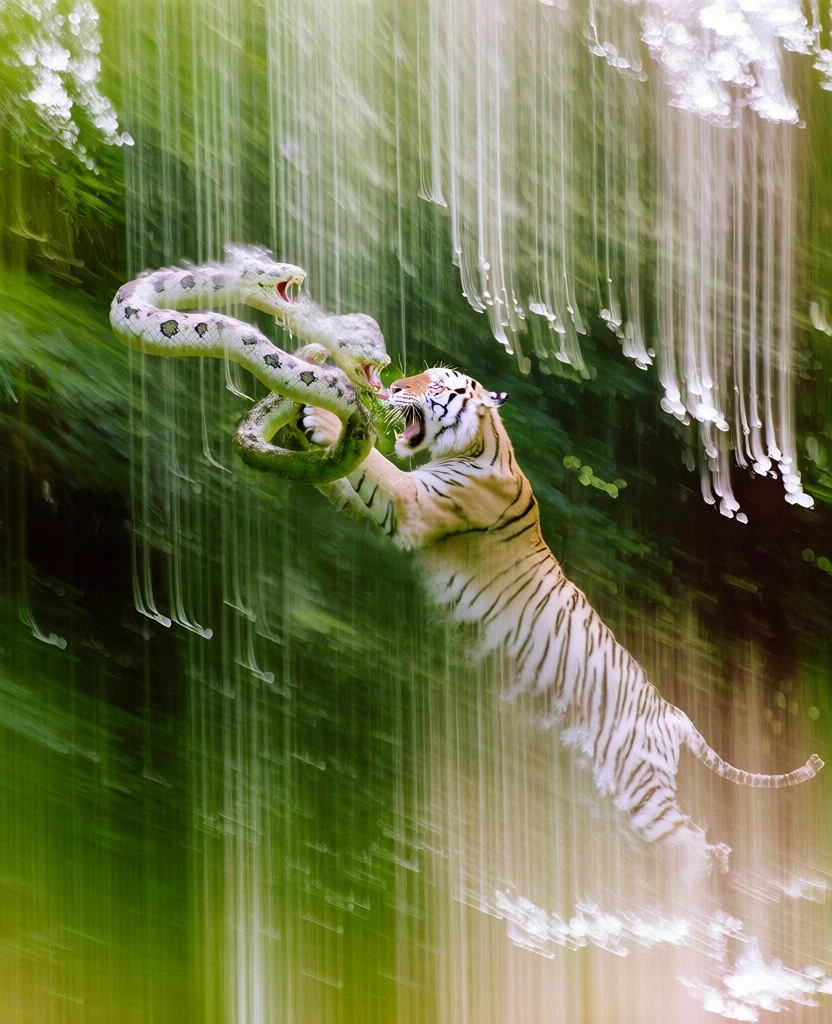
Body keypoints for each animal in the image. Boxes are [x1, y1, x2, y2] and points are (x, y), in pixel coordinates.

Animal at [300, 366, 823, 871]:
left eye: (437, 382)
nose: (392, 386)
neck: (481, 444)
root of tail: (672, 714)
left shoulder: (412, 504)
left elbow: (376, 465)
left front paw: (317, 417)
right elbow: (348, 480)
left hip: (638, 785)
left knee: (690, 845)